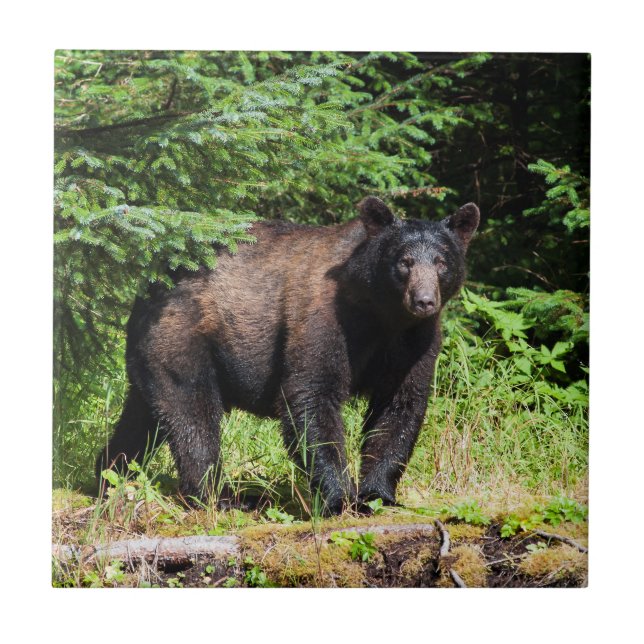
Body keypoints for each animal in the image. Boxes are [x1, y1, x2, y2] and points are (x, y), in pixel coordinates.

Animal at [97, 196, 479, 514]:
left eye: (442, 262)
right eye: (404, 261)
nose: (424, 300)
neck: (382, 315)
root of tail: (150, 284)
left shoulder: (414, 342)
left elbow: (400, 406)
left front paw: (377, 494)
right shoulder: (324, 317)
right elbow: (312, 394)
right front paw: (338, 498)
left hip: (153, 353)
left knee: (143, 416)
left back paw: (109, 473)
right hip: (183, 336)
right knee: (192, 413)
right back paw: (221, 497)